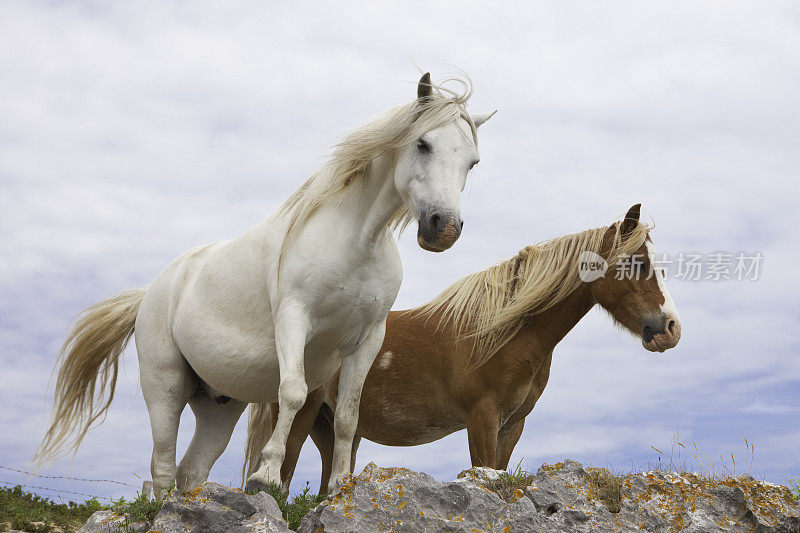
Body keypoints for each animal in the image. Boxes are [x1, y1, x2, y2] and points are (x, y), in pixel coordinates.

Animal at [36, 74, 494, 494]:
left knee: (191, 471)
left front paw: (339, 487)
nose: (443, 228)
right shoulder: (294, 319)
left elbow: (349, 416)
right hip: (164, 387)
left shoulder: (368, 339)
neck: (356, 243)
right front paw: (266, 475)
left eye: (472, 162)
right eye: (423, 144)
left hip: (220, 407)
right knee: (162, 468)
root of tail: (151, 293)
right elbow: (291, 392)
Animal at [244, 204, 680, 490]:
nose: (670, 329)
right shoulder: (481, 417)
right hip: (302, 417)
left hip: (333, 430)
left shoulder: (512, 425)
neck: (504, 331)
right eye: (636, 263)